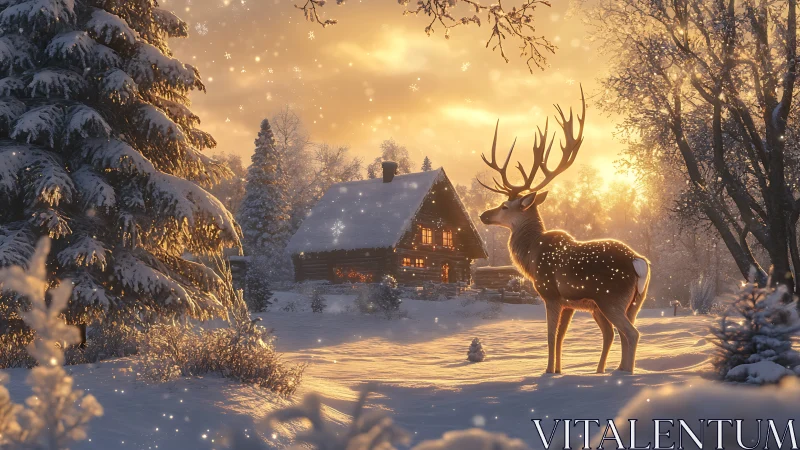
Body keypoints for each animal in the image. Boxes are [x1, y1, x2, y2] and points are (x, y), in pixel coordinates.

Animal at [478, 87, 651, 374]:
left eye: (504, 206)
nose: (483, 215)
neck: (531, 256)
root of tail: (640, 263)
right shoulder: (570, 303)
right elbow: (561, 336)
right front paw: (558, 371)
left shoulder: (550, 293)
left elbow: (550, 336)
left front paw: (547, 372)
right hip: (636, 301)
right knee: (623, 332)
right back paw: (614, 370)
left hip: (610, 298)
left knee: (631, 333)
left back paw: (623, 373)